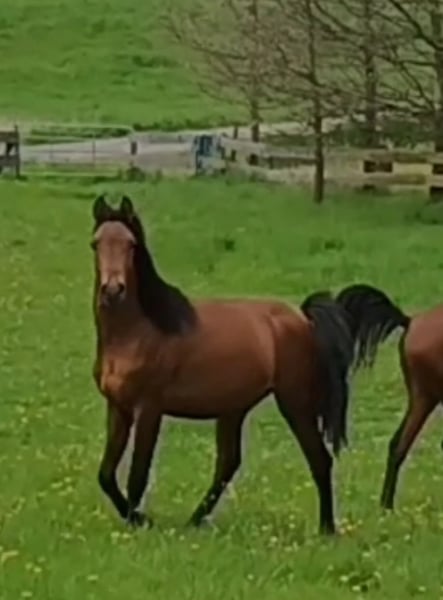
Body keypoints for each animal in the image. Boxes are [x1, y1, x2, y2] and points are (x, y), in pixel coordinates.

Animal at [91, 194, 355, 535]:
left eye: (131, 244)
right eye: (96, 243)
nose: (113, 290)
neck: (139, 332)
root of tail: (302, 318)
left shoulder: (148, 409)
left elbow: (138, 474)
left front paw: (139, 520)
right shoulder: (118, 407)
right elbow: (106, 474)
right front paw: (138, 518)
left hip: (294, 402)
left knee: (319, 459)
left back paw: (327, 529)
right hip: (233, 409)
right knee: (228, 463)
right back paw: (195, 520)